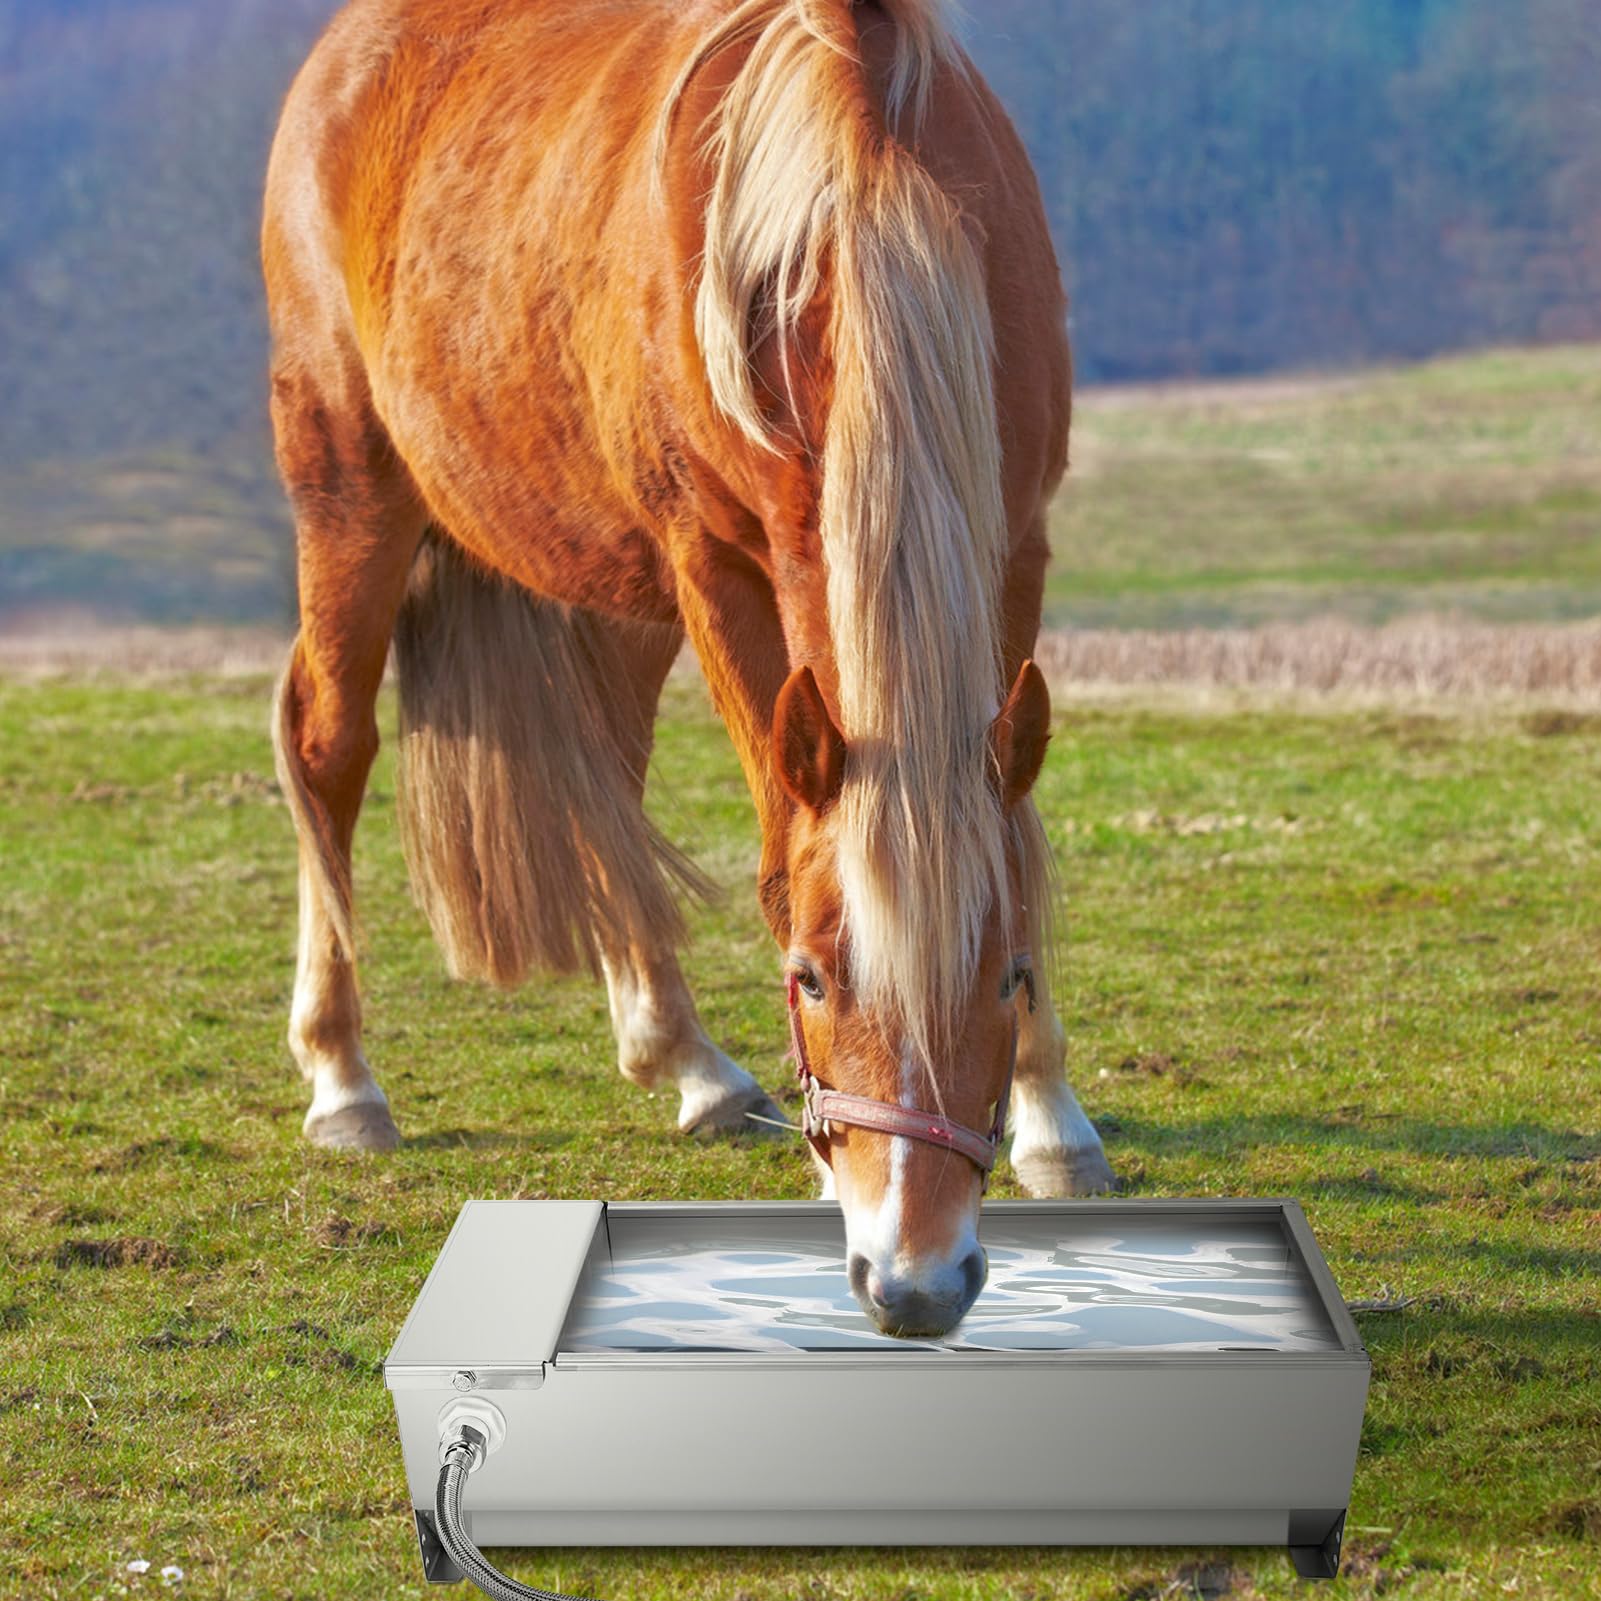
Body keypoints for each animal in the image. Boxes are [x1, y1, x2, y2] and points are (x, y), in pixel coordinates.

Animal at [264, 0, 1115, 1339]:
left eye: (1005, 974)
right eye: (807, 976)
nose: (913, 1278)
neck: (867, 188)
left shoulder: (1014, 537)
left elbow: (1010, 838)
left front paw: (1049, 1118)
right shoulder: (714, 562)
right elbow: (779, 828)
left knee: (605, 779)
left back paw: (686, 1060)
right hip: (351, 483)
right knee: (326, 742)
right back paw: (343, 1078)